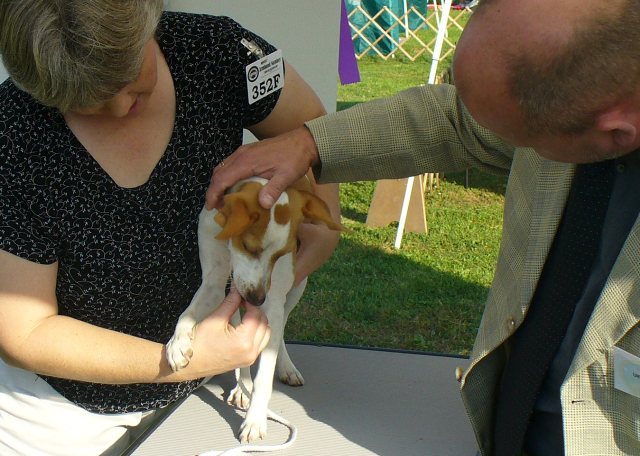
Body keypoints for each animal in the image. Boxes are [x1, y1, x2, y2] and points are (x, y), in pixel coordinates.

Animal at [168, 175, 342, 442]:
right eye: (249, 247)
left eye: (281, 254)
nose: (257, 299)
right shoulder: (214, 283)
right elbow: (187, 314)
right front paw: (177, 344)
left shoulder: (273, 302)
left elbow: (265, 375)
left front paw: (255, 419)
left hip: (297, 286)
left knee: (281, 327)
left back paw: (285, 367)